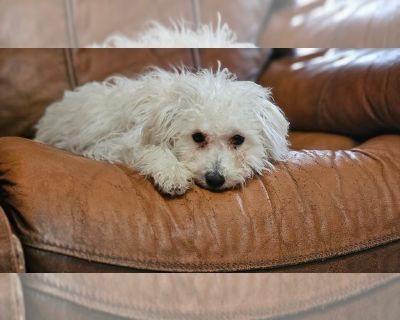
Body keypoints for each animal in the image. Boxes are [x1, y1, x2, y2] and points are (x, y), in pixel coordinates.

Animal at [35, 67, 288, 195]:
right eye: (198, 137)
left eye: (238, 139)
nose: (215, 179)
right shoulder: (114, 146)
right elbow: (154, 150)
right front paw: (172, 173)